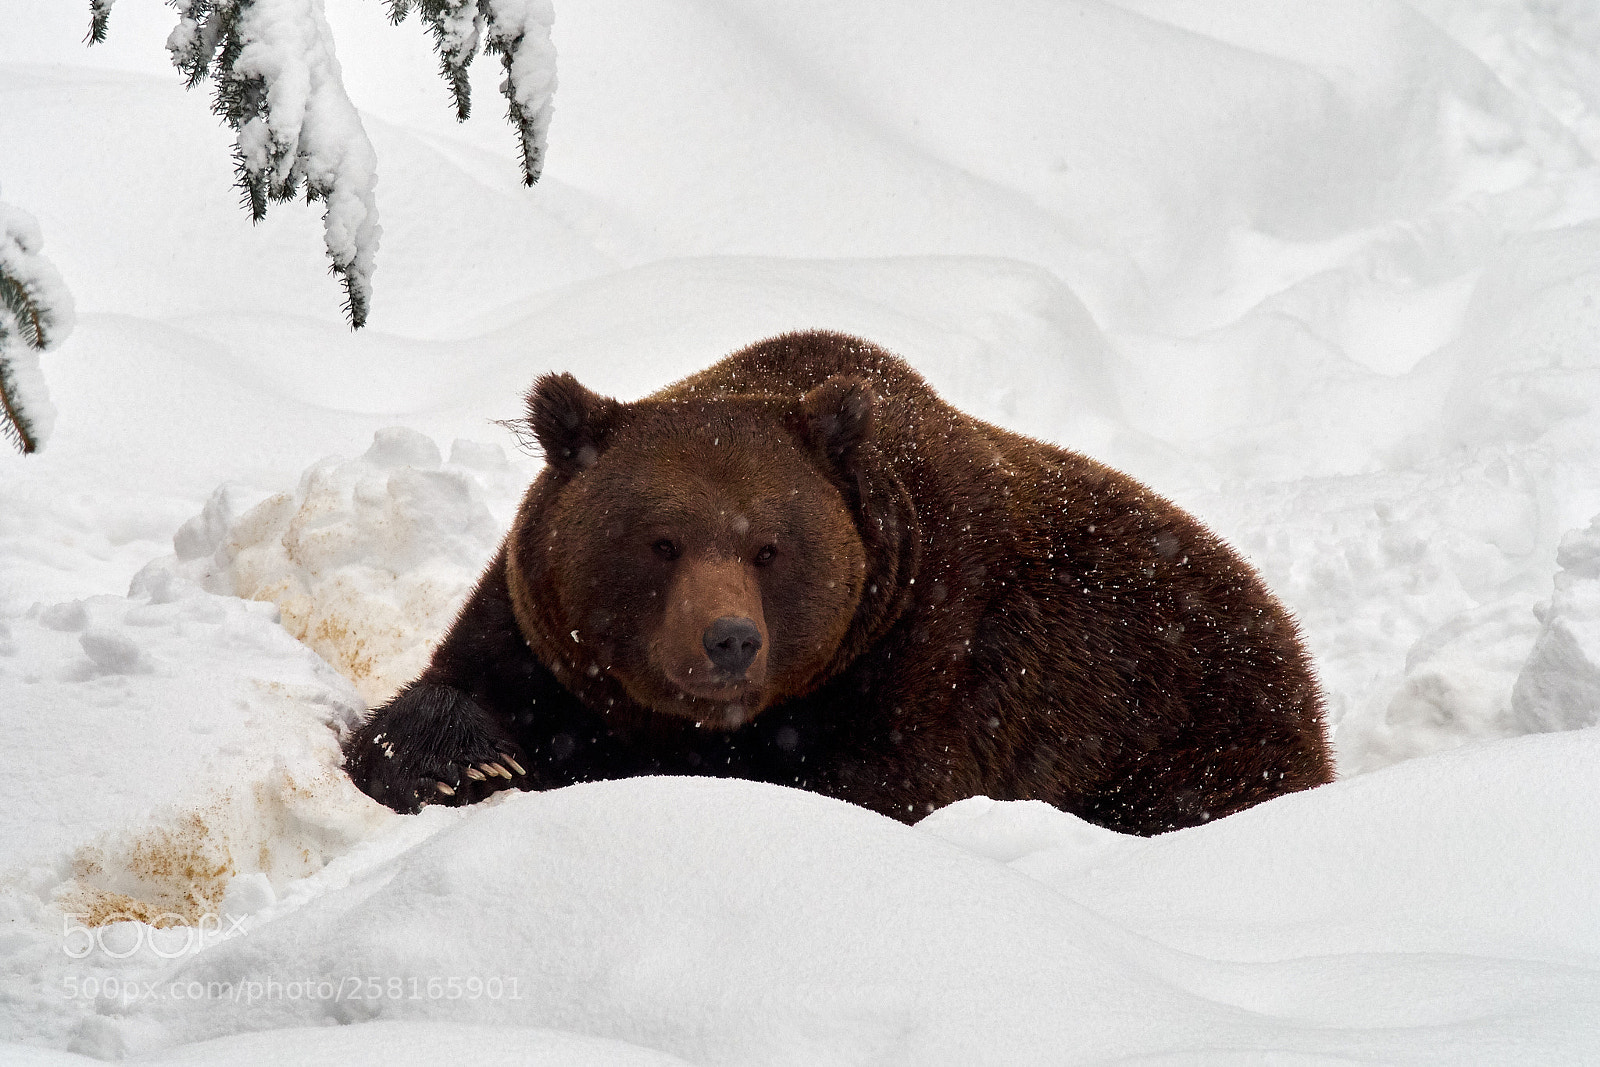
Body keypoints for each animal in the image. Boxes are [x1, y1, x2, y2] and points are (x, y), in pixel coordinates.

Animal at [344, 330, 1334, 835]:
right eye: (661, 542)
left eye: (769, 548)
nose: (729, 639)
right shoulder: (533, 623)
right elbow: (434, 707)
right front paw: (471, 757)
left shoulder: (936, 659)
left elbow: (865, 786)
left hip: (1186, 718)